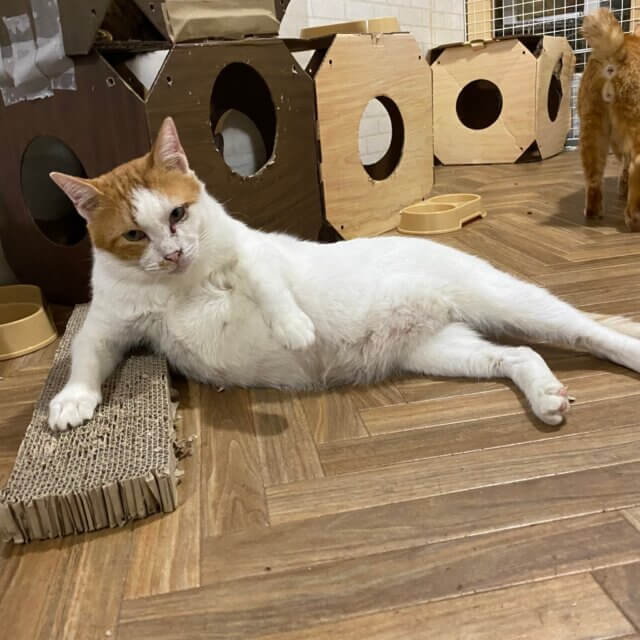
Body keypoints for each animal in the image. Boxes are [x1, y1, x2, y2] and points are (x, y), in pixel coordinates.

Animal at [48, 116, 640, 431]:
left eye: (178, 214)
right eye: (134, 236)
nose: (172, 254)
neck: (177, 287)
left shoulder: (253, 253)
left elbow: (268, 286)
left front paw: (293, 329)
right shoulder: (107, 324)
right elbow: (85, 357)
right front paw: (73, 402)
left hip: (507, 301)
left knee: (589, 331)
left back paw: (626, 350)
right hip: (441, 350)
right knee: (520, 354)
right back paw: (546, 396)